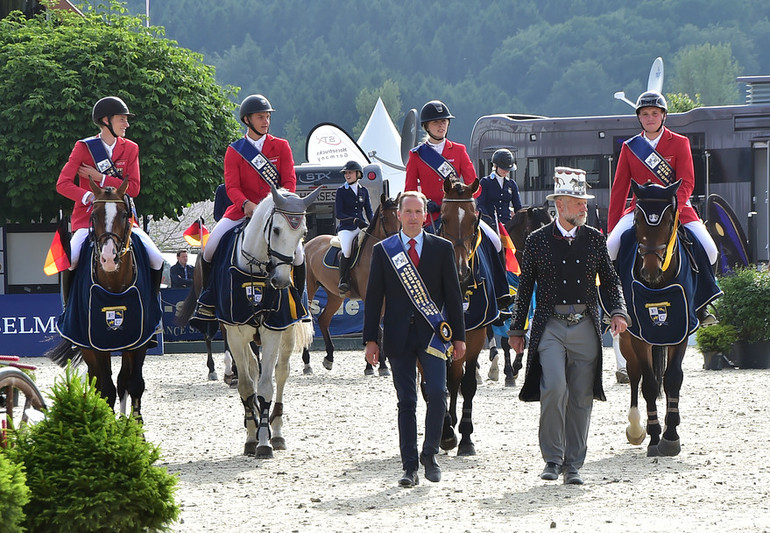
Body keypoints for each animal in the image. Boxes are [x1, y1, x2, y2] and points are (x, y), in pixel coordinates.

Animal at [47, 179, 159, 420]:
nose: (108, 258)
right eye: (94, 215)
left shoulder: (139, 340)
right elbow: (105, 388)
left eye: (125, 215)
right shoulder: (94, 344)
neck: (114, 283)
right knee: (98, 381)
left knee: (123, 379)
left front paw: (135, 426)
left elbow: (135, 383)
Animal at [224, 183, 320, 458]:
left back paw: (276, 432)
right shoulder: (234, 333)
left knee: (281, 374)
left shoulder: (272, 330)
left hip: (285, 336)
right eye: (276, 230)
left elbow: (267, 385)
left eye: (303, 233)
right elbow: (247, 386)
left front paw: (265, 441)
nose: (281, 281)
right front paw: (251, 436)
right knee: (253, 371)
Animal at [300, 193, 400, 372]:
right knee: (308, 319)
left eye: (398, 216)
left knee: (323, 319)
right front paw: (380, 365)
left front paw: (372, 365)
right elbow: (377, 330)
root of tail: (309, 244)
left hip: (335, 296)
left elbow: (377, 329)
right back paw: (307, 362)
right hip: (310, 289)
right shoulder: (369, 297)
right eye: (383, 217)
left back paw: (329, 357)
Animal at [612, 181, 720, 456]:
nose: (650, 270)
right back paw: (636, 429)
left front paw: (671, 437)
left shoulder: (680, 330)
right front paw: (653, 436)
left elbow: (672, 378)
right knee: (634, 374)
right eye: (637, 220)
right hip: (628, 337)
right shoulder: (640, 335)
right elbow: (650, 384)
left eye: (670, 220)